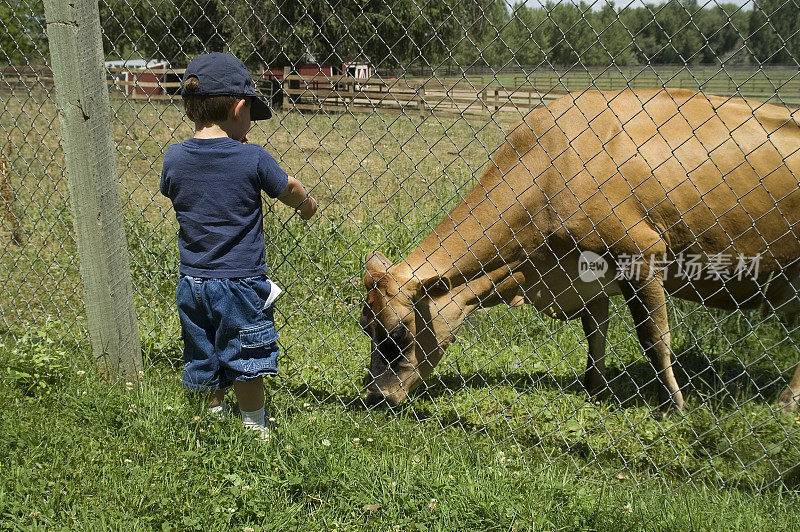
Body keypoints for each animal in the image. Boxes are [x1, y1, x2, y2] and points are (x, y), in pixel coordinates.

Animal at [362, 87, 800, 414]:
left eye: (399, 332)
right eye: (365, 327)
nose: (376, 396)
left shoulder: (641, 253)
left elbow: (653, 338)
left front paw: (672, 406)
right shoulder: (586, 275)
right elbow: (595, 334)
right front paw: (595, 389)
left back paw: (785, 404)